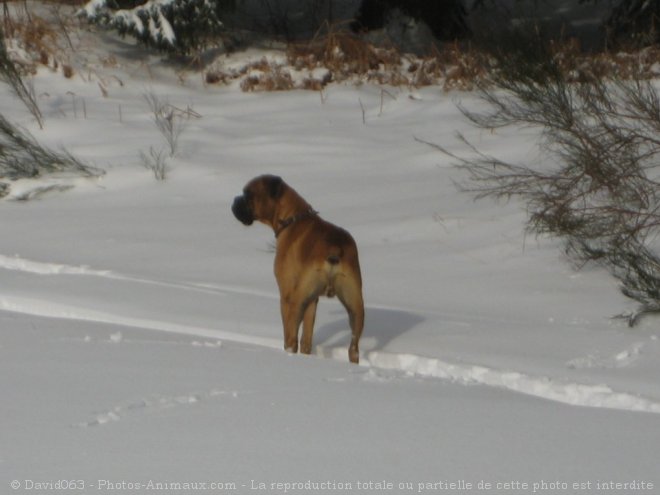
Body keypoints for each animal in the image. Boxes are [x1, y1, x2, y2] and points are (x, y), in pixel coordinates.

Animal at [232, 175, 366, 364]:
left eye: (248, 194)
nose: (235, 200)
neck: (291, 219)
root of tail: (334, 246)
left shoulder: (287, 295)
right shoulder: (312, 301)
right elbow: (307, 338)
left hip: (297, 301)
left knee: (291, 340)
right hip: (355, 305)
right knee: (353, 348)